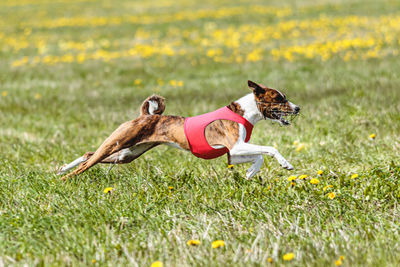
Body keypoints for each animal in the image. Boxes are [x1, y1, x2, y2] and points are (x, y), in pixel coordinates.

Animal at [58, 79, 300, 180]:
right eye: (279, 99)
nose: (298, 108)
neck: (244, 113)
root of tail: (145, 116)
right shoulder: (236, 146)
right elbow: (269, 149)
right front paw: (285, 163)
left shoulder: (233, 153)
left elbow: (259, 156)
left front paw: (250, 172)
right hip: (117, 143)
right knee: (88, 161)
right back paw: (66, 178)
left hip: (127, 154)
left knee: (89, 154)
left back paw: (61, 169)